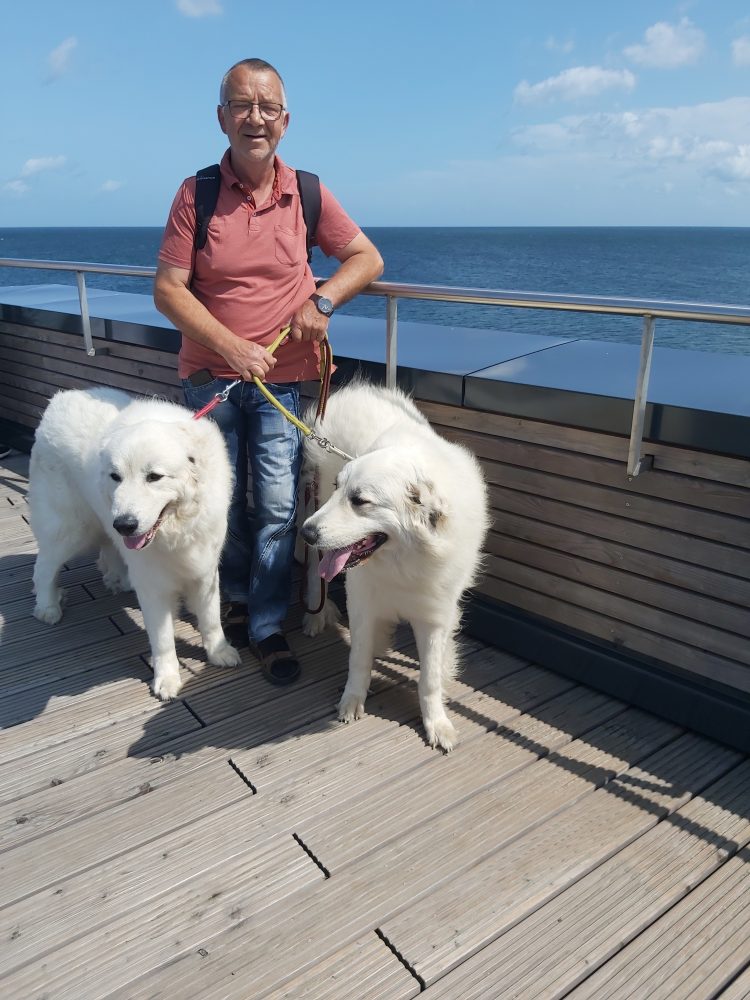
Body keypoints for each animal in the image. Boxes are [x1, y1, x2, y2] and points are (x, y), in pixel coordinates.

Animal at [29, 387, 240, 699]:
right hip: (71, 529)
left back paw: (117, 579)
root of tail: (60, 398)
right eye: (116, 477)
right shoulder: (153, 583)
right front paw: (167, 678)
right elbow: (162, 638)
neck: (176, 530)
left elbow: (211, 618)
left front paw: (219, 652)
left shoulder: (205, 568)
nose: (125, 524)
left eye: (154, 477)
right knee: (43, 567)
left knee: (108, 548)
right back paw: (48, 606)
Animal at [300, 382, 489, 751]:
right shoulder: (362, 602)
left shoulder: (435, 613)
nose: (307, 532)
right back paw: (316, 615)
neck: (405, 561)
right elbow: (358, 658)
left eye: (360, 501)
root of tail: (356, 390)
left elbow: (429, 678)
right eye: (339, 490)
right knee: (315, 573)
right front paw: (352, 701)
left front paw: (436, 723)